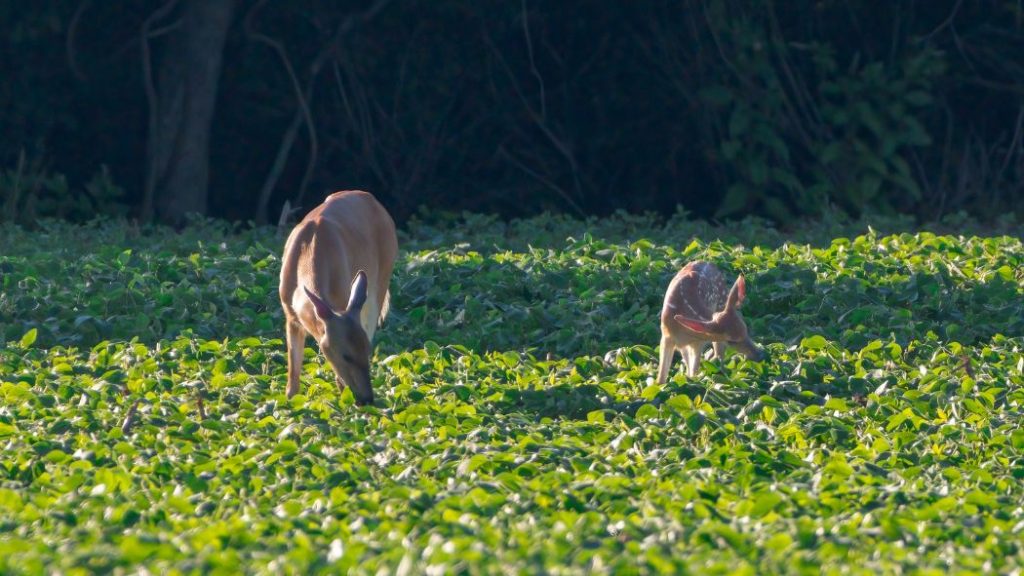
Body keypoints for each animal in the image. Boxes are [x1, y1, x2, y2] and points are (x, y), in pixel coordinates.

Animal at [279, 190, 398, 405]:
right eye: (346, 356)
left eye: (368, 351)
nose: (367, 399)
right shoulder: (290, 316)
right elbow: (293, 377)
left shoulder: (343, 300)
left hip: (382, 278)